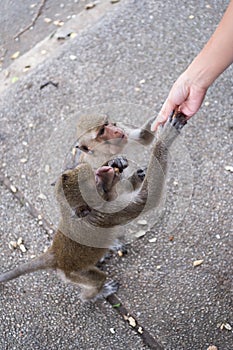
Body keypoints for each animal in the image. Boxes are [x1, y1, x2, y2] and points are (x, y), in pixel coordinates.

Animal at [0, 111, 187, 300]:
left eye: (95, 174)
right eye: (96, 182)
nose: (107, 171)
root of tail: (55, 255)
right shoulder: (107, 212)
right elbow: (147, 198)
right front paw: (167, 135)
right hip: (73, 273)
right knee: (95, 280)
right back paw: (95, 293)